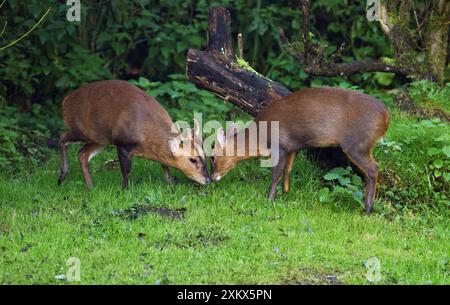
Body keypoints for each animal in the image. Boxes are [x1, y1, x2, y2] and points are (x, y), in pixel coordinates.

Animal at [58, 79, 211, 186]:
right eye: (192, 159)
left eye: (204, 156)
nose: (208, 179)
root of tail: (65, 101)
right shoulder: (123, 144)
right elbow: (126, 172)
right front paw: (124, 190)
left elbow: (165, 165)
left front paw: (171, 182)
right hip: (81, 129)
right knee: (61, 138)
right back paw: (62, 176)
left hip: (101, 138)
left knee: (82, 154)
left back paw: (90, 186)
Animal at [211, 86, 390, 213]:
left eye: (212, 156)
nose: (212, 178)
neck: (259, 138)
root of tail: (386, 116)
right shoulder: (292, 148)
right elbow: (287, 170)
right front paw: (285, 193)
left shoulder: (280, 146)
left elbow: (275, 173)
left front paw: (269, 198)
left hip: (357, 145)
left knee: (373, 170)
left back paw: (368, 208)